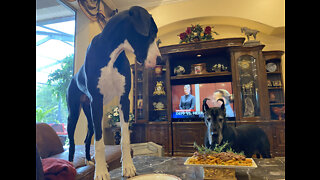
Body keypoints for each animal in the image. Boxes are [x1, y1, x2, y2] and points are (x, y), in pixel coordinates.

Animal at [65, 6, 160, 179]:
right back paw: (70, 165)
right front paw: (102, 172)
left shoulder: (124, 99)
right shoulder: (97, 101)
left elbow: (125, 138)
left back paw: (89, 160)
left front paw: (128, 166)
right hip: (74, 114)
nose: (160, 59)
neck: (112, 51)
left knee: (88, 138)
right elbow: (100, 143)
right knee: (73, 142)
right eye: (151, 32)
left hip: (90, 116)